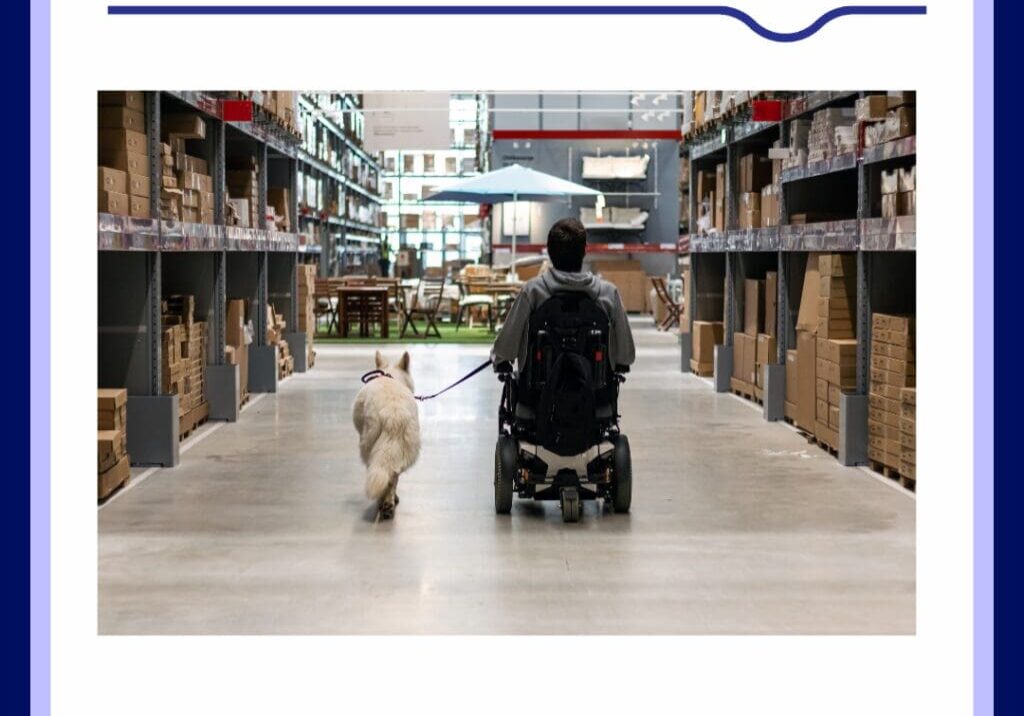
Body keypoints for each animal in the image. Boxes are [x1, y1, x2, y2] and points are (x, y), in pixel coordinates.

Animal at [350, 350, 417, 518]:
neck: (391, 376)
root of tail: (393, 416)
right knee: (392, 475)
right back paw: (389, 502)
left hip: (368, 444)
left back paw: (383, 503)